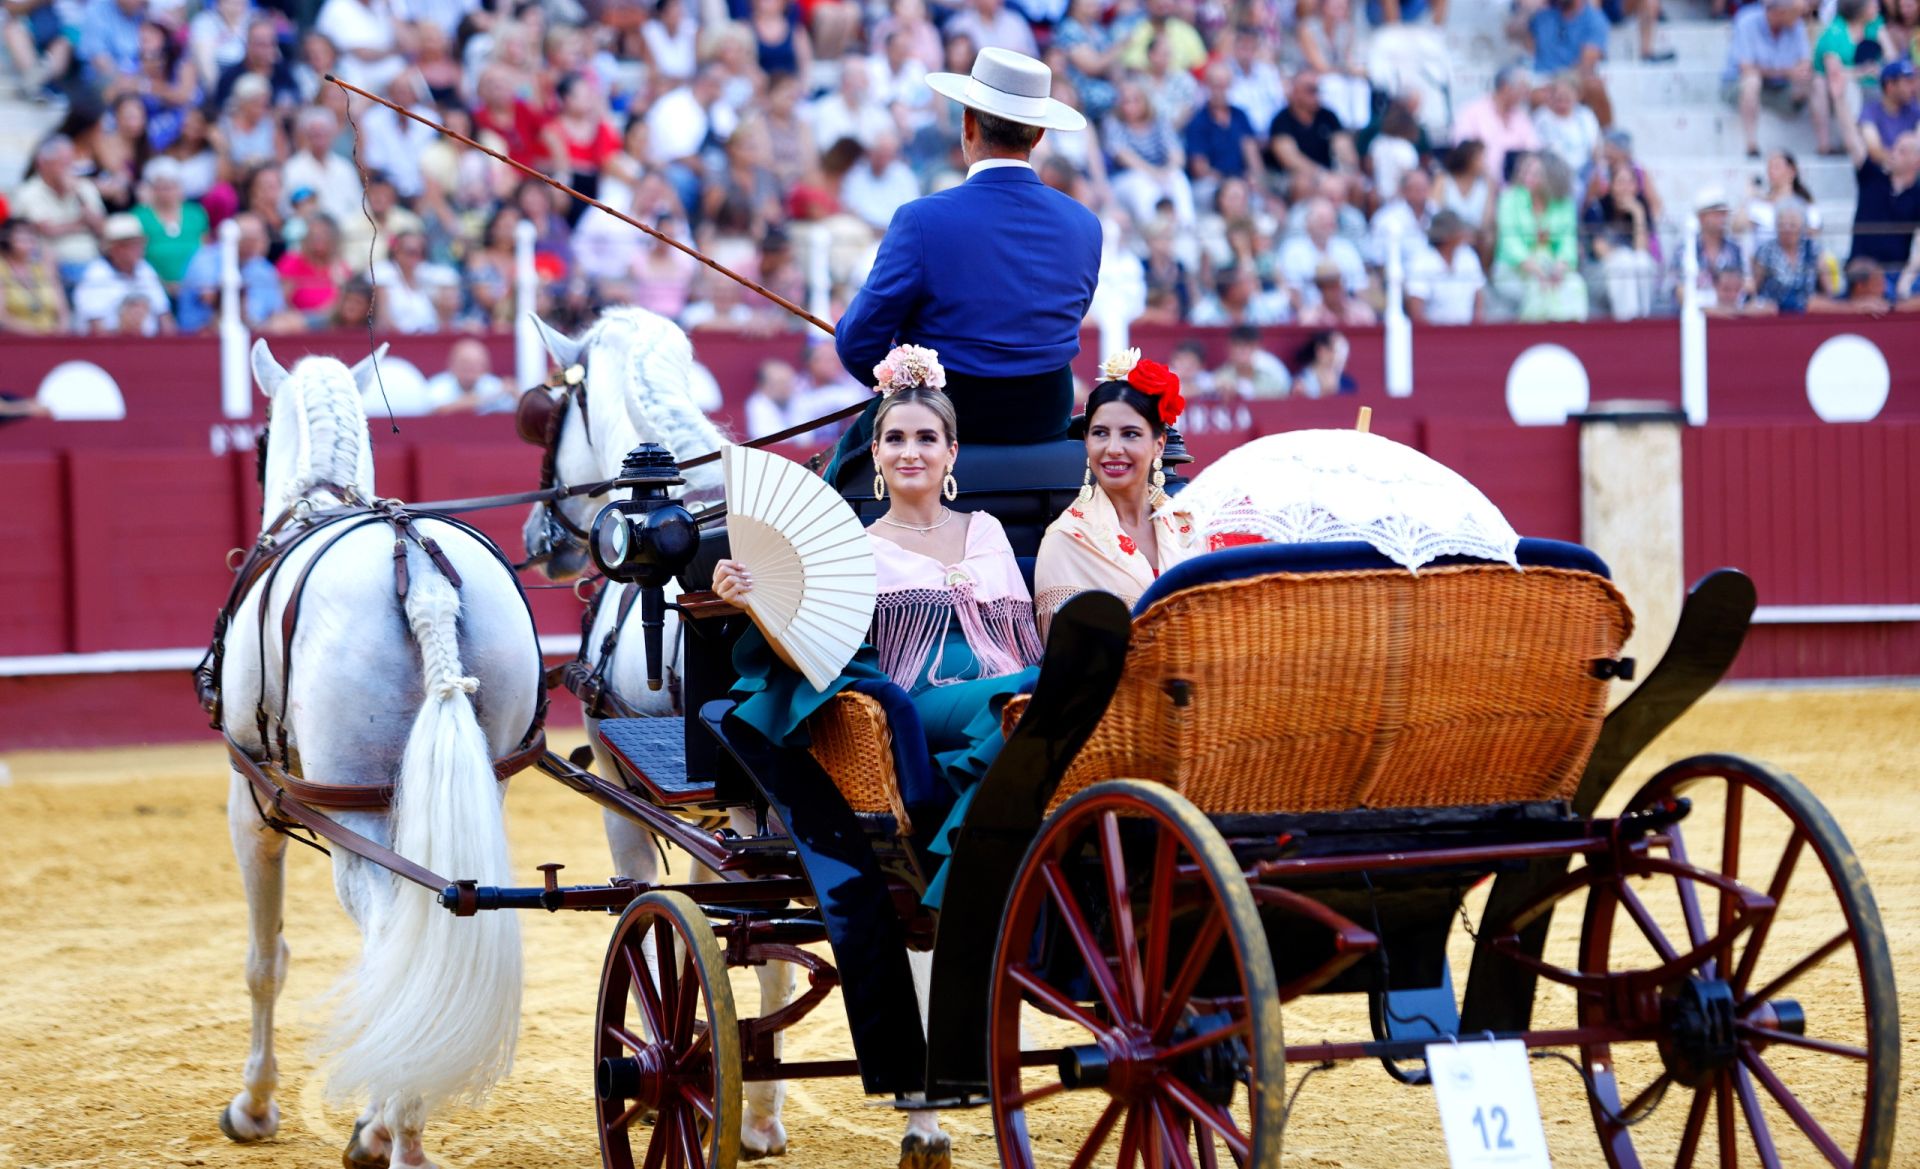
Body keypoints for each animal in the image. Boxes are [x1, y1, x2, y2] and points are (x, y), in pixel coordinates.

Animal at [220, 337, 545, 1167]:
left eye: (260, 444)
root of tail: (422, 577)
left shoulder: (252, 802)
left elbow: (264, 960)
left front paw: (255, 1106)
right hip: (475, 786)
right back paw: (395, 1122)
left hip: (353, 813)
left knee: (394, 930)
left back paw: (392, 1133)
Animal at [522, 305, 948, 1159]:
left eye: (548, 415)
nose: (539, 535)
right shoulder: (735, 821)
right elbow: (766, 945)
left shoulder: (625, 791)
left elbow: (667, 924)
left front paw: (722, 1100)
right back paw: (924, 1116)